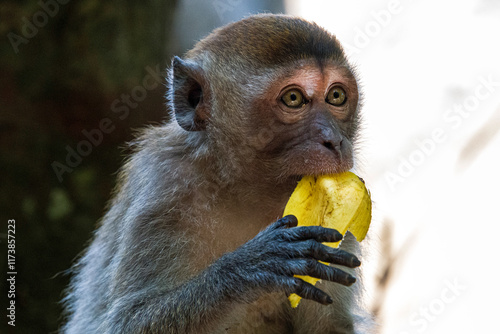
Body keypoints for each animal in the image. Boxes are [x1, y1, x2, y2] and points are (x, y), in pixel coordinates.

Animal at [62, 13, 374, 334]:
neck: (242, 187)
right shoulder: (162, 189)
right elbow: (126, 322)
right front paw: (253, 265)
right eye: (293, 98)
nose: (334, 140)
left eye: (336, 95)